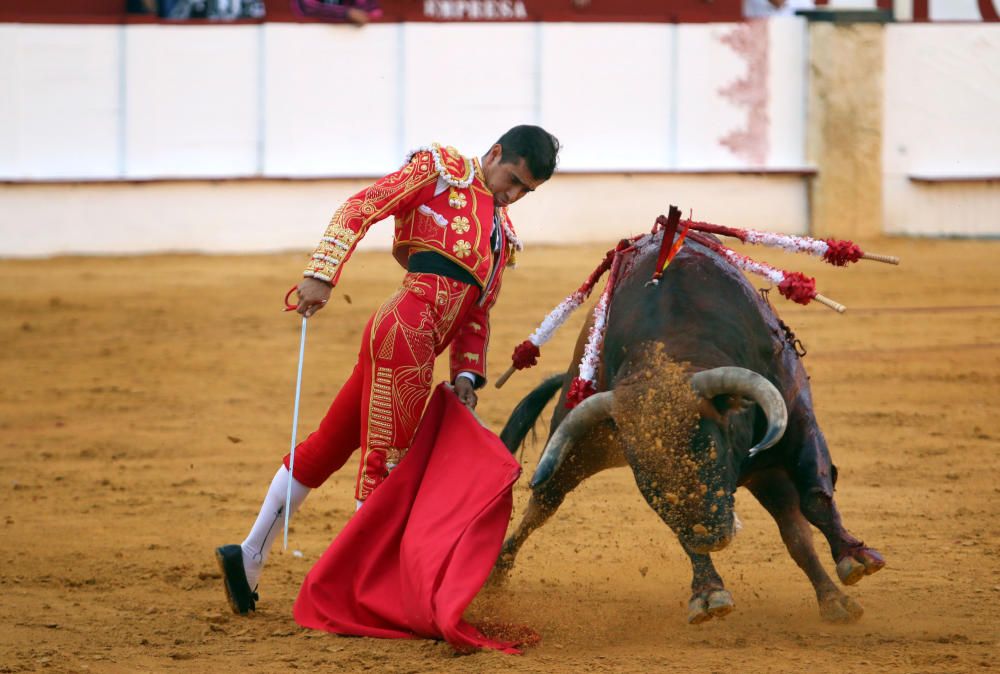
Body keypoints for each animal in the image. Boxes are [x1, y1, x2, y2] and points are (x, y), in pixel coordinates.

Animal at [492, 238, 884, 624]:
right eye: (645, 468)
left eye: (705, 445)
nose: (711, 536)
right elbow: (682, 531)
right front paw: (708, 593)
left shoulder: (799, 419)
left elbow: (816, 498)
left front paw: (855, 557)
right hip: (575, 450)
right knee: (541, 505)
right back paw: (495, 574)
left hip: (767, 473)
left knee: (795, 531)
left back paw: (833, 599)